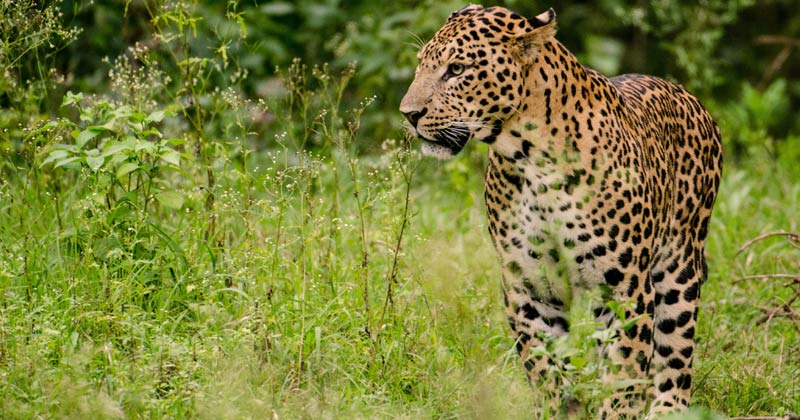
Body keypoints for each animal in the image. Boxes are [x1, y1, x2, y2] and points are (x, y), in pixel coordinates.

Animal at [400, 5, 722, 419]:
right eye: (420, 65)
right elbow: (546, 369)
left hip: (679, 268)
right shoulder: (529, 286)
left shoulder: (626, 288)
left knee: (675, 357)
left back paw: (668, 408)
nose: (409, 114)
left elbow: (624, 373)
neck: (530, 160)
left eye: (456, 69)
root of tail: (688, 95)